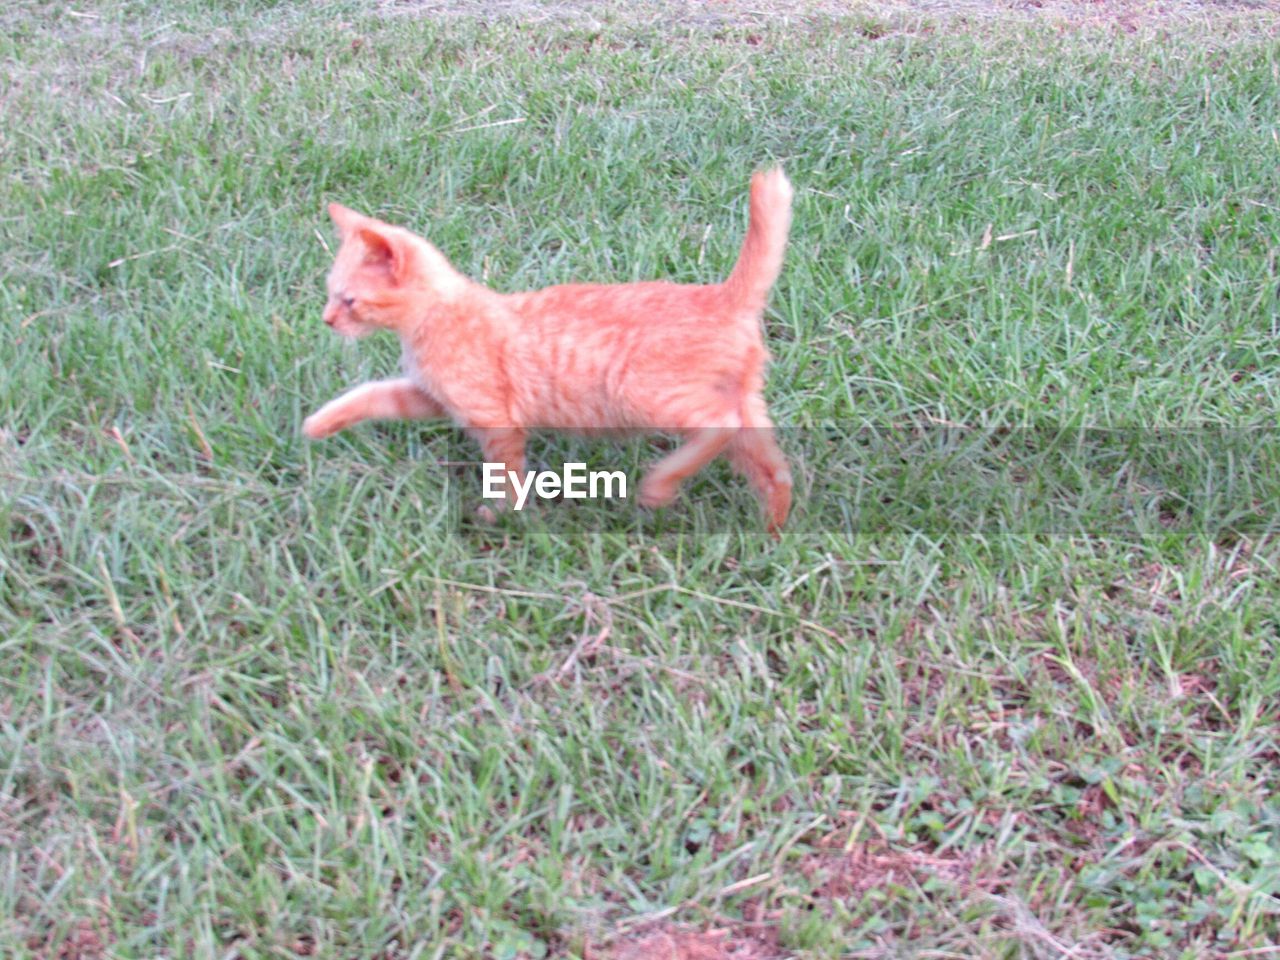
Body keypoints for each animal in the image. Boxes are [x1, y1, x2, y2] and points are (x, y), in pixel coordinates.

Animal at [304, 167, 793, 535]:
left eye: (348, 300)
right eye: (330, 295)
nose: (327, 320)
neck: (438, 316)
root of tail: (722, 295)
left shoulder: (494, 419)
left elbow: (505, 475)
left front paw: (505, 514)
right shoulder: (426, 396)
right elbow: (371, 394)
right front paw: (319, 423)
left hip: (644, 394)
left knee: (720, 425)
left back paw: (659, 486)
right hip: (745, 408)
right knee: (774, 468)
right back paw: (772, 531)